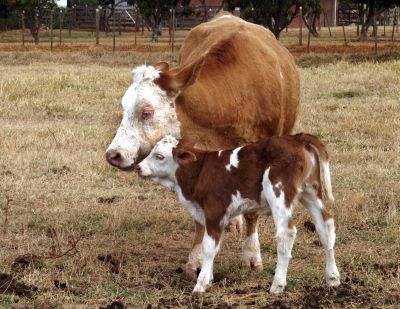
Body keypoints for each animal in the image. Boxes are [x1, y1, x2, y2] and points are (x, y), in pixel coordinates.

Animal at [104, 12, 298, 280]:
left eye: (146, 112)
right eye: (124, 108)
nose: (113, 154)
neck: (233, 97)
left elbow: (252, 212)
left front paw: (251, 254)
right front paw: (197, 259)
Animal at [138, 132, 340, 292]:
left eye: (159, 156)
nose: (139, 167)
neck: (200, 171)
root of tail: (297, 138)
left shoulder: (214, 212)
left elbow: (208, 248)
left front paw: (201, 284)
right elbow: (215, 247)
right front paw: (209, 278)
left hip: (280, 194)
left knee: (286, 234)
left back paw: (277, 285)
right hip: (310, 192)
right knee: (326, 227)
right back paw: (332, 278)